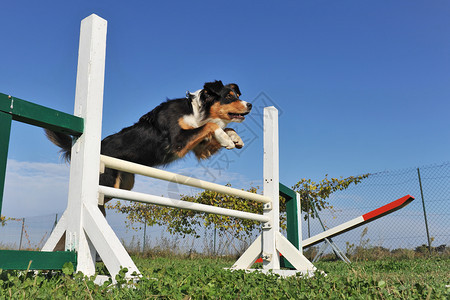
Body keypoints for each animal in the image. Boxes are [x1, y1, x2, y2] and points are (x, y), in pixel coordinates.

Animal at [47, 81, 251, 214]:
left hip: (122, 185)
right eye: (229, 96)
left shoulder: (198, 147)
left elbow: (223, 128)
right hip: (107, 182)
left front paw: (235, 138)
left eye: (237, 95)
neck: (196, 111)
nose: (250, 104)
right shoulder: (178, 141)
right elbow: (211, 125)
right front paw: (226, 139)